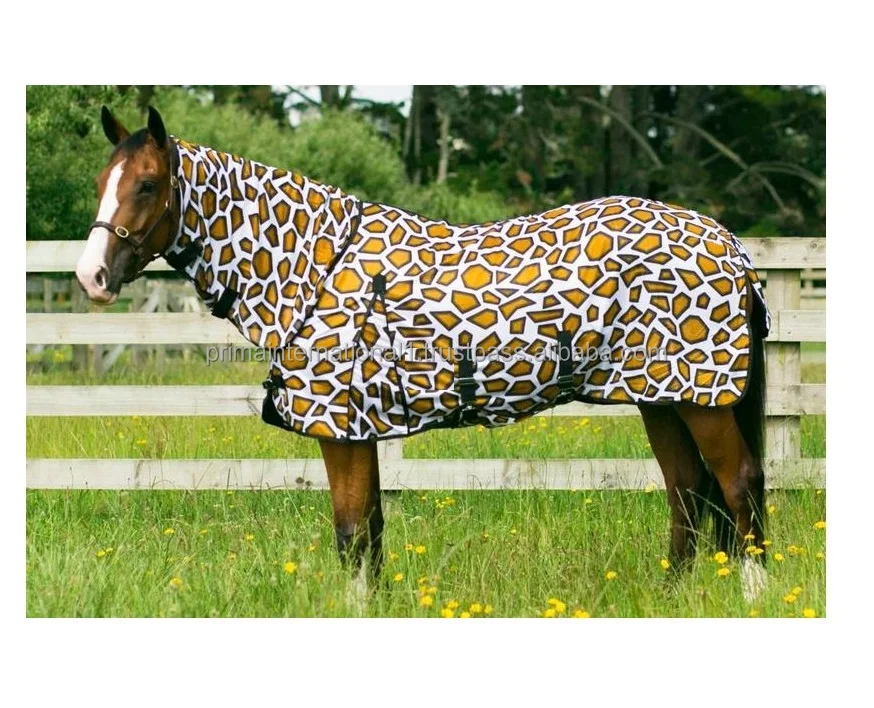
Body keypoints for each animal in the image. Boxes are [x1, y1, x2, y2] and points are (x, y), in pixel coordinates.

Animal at [76, 106, 770, 602]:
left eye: (147, 184)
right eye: (101, 181)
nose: (92, 278)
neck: (316, 265)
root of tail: (727, 242)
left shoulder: (340, 430)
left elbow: (352, 531)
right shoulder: (360, 430)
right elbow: (370, 532)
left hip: (702, 399)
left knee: (739, 484)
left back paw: (754, 595)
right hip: (661, 394)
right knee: (688, 491)